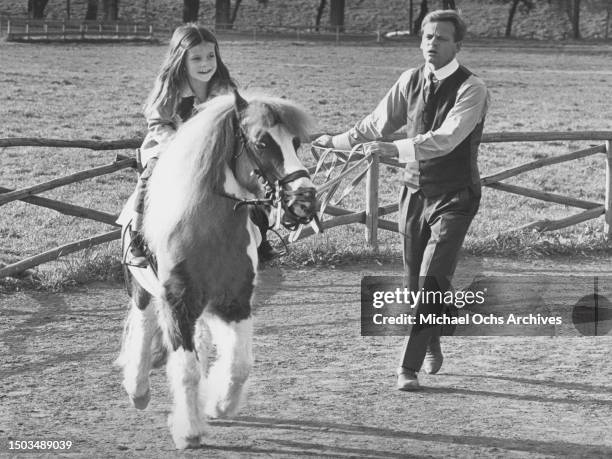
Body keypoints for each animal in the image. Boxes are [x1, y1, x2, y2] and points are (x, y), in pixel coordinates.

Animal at [115, 90, 318, 450]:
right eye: (262, 142)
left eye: (295, 142)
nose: (305, 199)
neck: (207, 228)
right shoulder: (178, 303)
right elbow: (186, 367)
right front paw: (190, 430)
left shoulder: (234, 301)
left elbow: (239, 364)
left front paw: (218, 404)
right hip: (143, 290)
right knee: (142, 324)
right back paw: (137, 388)